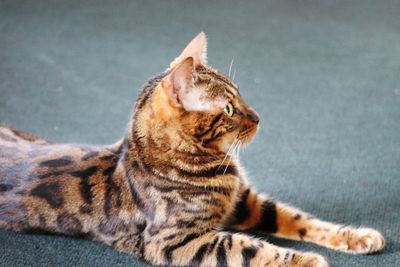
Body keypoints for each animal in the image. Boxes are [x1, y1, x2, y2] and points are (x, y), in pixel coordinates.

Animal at [0, 32, 384, 266]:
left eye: (241, 96)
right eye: (228, 109)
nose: (258, 117)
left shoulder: (245, 203)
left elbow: (303, 220)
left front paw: (358, 236)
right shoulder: (177, 239)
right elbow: (252, 248)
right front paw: (306, 260)